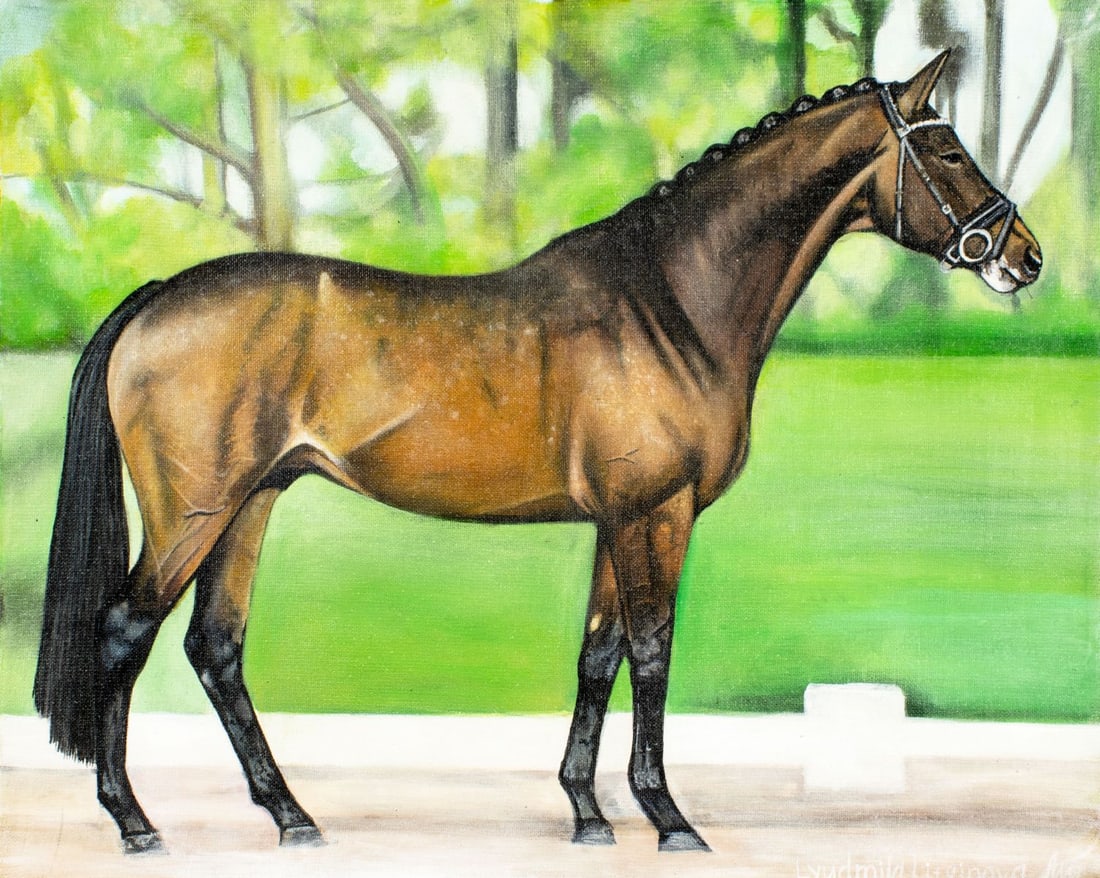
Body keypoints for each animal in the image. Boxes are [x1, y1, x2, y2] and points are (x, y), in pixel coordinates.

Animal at [34, 52, 1041, 855]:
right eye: (949, 153)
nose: (1023, 256)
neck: (667, 303)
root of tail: (158, 297)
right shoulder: (654, 515)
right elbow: (652, 649)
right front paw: (668, 817)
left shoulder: (616, 520)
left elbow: (599, 653)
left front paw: (588, 814)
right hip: (195, 512)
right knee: (125, 630)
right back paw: (135, 823)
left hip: (250, 503)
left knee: (215, 646)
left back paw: (292, 816)